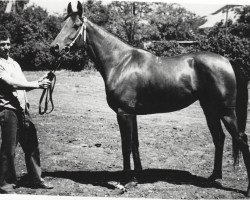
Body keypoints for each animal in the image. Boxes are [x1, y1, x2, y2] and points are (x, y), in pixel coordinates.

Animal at [49, 0, 250, 196]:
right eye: (62, 24)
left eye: (76, 25)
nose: (54, 48)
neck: (120, 62)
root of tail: (227, 61)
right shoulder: (132, 114)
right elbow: (135, 144)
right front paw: (136, 178)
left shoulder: (123, 113)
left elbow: (126, 146)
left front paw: (127, 181)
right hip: (210, 110)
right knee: (219, 138)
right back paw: (214, 176)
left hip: (226, 112)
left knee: (241, 139)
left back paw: (244, 188)